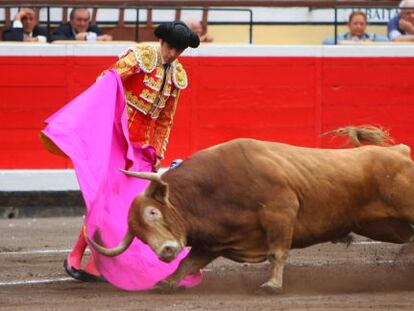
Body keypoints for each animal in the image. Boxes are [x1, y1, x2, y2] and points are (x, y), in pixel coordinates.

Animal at [87, 125, 414, 294]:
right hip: (385, 226)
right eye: (139, 236)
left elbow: (277, 252)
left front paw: (272, 285)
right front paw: (166, 281)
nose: (165, 251)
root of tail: (398, 152)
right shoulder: (212, 242)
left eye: (153, 213)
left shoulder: (281, 211)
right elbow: (188, 264)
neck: (213, 190)